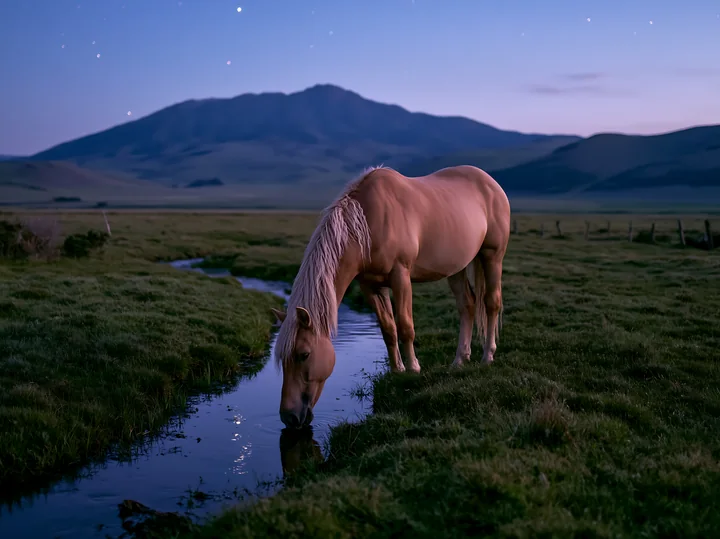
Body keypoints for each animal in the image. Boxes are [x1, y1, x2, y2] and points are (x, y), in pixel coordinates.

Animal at [270, 165, 511, 429]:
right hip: (457, 266)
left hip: (492, 255)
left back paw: (487, 356)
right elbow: (388, 330)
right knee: (467, 305)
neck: (368, 221)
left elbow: (405, 326)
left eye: (304, 355)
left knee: (491, 303)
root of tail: (490, 182)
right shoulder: (371, 285)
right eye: (281, 358)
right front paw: (397, 370)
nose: (289, 417)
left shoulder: (400, 276)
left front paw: (413, 368)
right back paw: (460, 360)